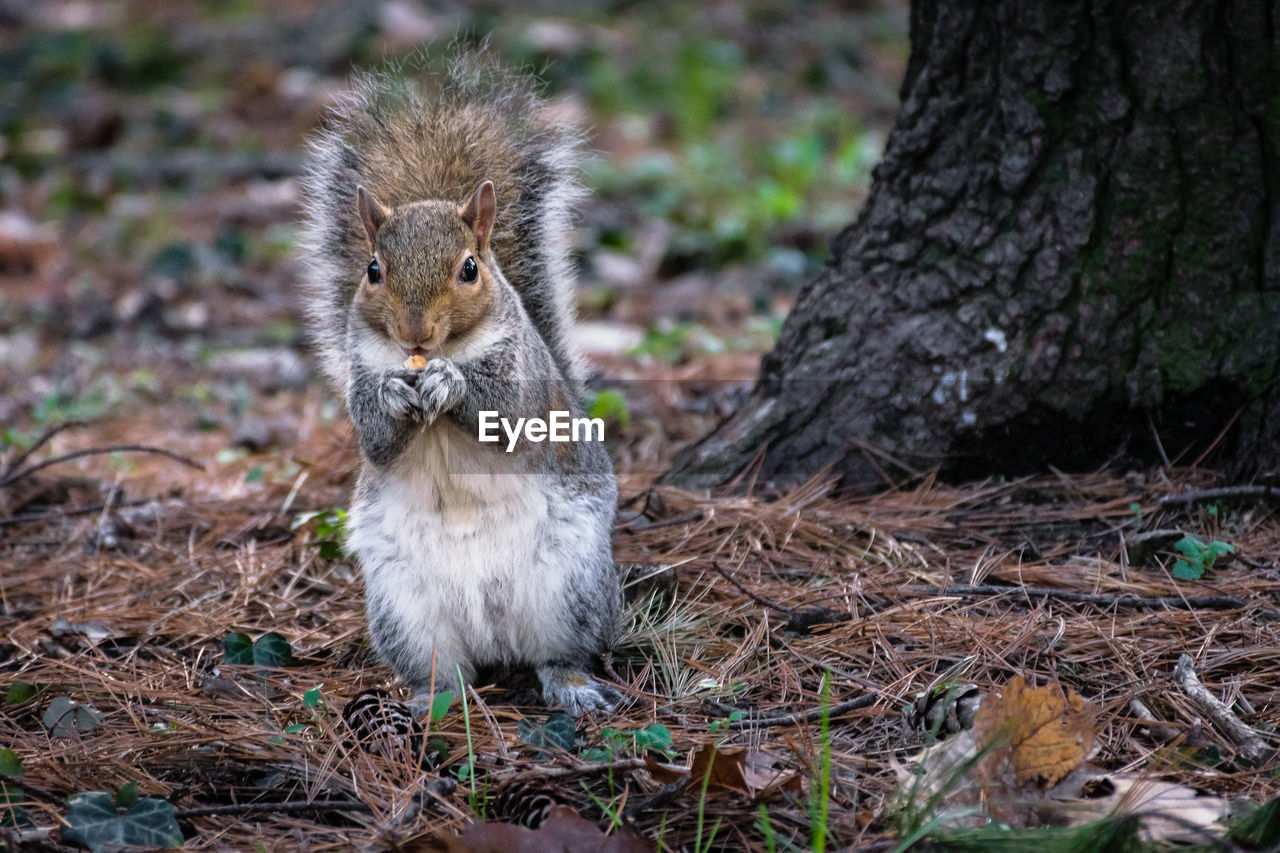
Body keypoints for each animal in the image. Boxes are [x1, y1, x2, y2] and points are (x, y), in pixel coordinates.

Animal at [299, 49, 619, 712]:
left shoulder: (523, 373)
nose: (414, 332)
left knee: (561, 653)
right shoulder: (363, 368)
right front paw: (396, 394)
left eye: (469, 269)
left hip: (571, 588)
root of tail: (493, 631)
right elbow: (374, 437)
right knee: (444, 670)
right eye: (373, 269)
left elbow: (510, 414)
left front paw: (453, 384)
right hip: (404, 608)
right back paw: (429, 699)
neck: (442, 349)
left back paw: (573, 686)